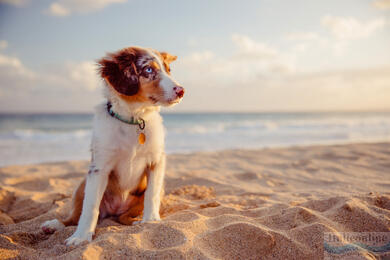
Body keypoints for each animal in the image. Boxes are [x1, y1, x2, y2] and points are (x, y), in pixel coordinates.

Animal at [40, 45, 185, 245]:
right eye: (148, 70)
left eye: (168, 70)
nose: (181, 91)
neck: (134, 119)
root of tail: (116, 210)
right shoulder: (99, 166)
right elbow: (90, 206)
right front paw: (81, 236)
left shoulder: (156, 160)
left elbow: (152, 194)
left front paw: (151, 221)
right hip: (81, 185)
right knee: (74, 217)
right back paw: (55, 225)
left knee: (126, 215)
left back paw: (136, 221)